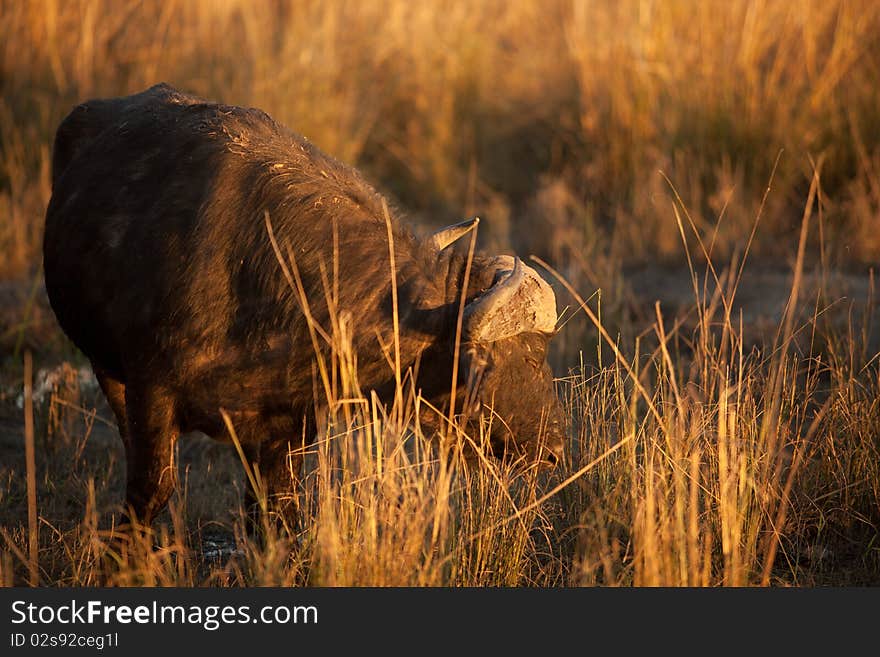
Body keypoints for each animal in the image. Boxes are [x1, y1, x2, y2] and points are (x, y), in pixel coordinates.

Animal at [41, 83, 564, 528]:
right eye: (527, 356)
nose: (555, 450)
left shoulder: (287, 427)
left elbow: (276, 510)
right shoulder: (151, 393)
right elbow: (150, 493)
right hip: (106, 369)